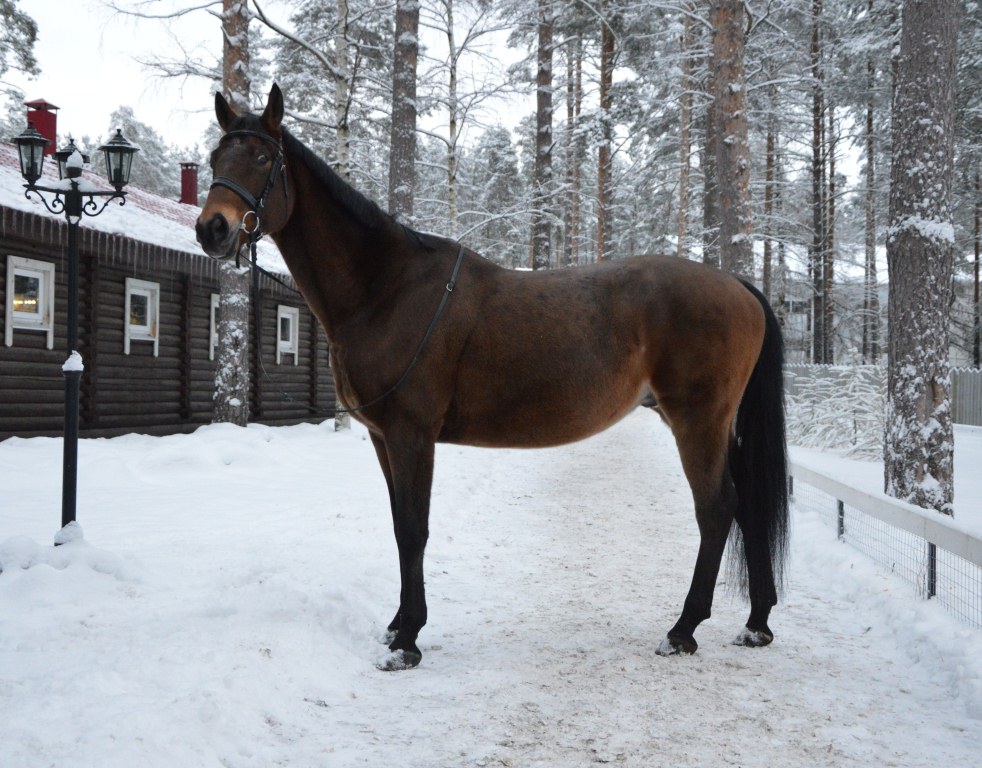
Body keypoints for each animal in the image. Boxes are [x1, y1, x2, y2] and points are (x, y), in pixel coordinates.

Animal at [196, 84, 790, 671]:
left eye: (263, 158)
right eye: (215, 158)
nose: (212, 228)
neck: (386, 288)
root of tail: (739, 287)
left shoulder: (412, 435)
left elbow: (413, 529)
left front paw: (407, 640)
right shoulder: (384, 438)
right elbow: (398, 524)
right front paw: (396, 626)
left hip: (697, 421)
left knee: (717, 509)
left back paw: (683, 630)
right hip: (712, 424)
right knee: (747, 505)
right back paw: (756, 624)